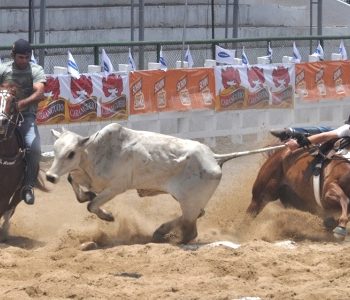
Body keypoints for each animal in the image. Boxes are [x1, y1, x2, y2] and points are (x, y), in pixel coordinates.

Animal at [45, 122, 284, 244]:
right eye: (55, 150)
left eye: (71, 153)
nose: (49, 176)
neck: (96, 152)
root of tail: (214, 158)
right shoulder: (87, 178)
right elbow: (75, 183)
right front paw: (85, 193)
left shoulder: (115, 188)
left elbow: (91, 205)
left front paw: (108, 215)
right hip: (187, 200)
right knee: (197, 215)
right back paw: (160, 231)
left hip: (189, 202)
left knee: (191, 229)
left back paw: (169, 238)